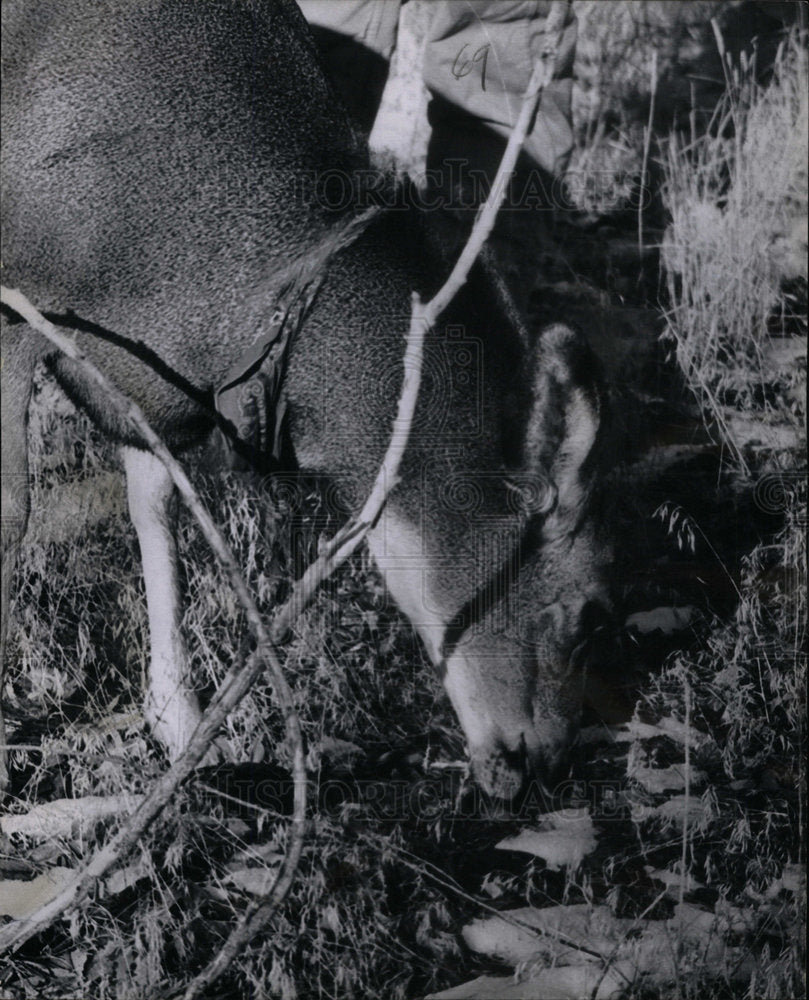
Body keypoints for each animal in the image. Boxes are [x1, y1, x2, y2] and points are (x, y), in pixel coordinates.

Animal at [0, 0, 608, 800]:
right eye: (587, 615)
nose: (547, 764)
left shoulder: (155, 394)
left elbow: (158, 512)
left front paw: (183, 727)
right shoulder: (17, 301)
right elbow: (12, 514)